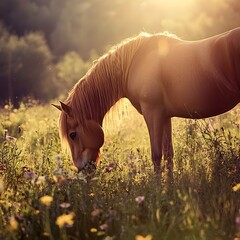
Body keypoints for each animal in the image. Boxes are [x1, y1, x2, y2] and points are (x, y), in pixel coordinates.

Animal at [53, 28, 240, 177]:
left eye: (72, 134)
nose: (81, 170)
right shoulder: (165, 117)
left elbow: (156, 155)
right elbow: (169, 154)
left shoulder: (153, 114)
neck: (135, 63)